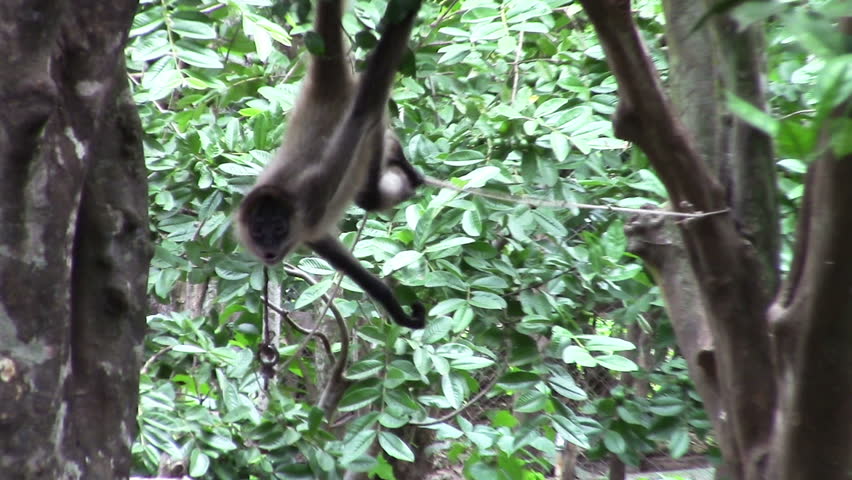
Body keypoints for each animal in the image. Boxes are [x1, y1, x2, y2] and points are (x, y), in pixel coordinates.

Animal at [236, 0, 425, 329]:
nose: (270, 250)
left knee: (370, 192)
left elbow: (362, 110)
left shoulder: (316, 192)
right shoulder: (309, 228)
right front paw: (393, 305)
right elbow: (328, 246)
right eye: (259, 231)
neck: (287, 196)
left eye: (278, 229)